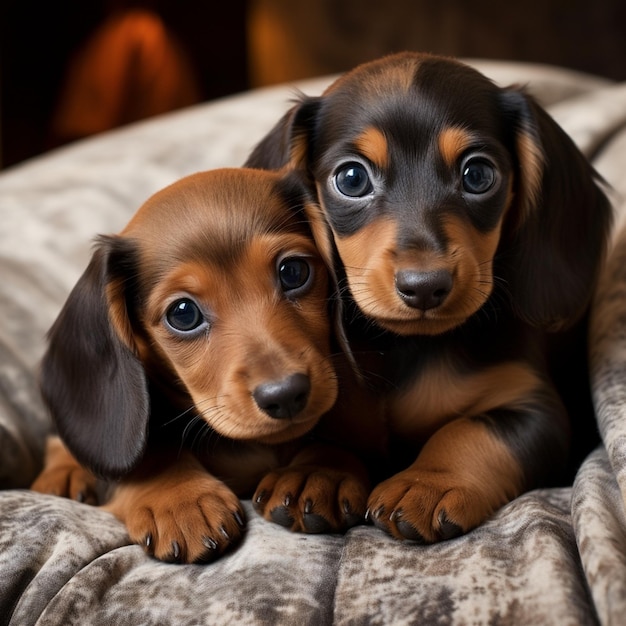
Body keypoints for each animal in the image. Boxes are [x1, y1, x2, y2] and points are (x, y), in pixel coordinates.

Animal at [31, 167, 368, 560]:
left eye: (293, 272)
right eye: (183, 313)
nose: (285, 395)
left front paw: (320, 470)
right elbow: (149, 454)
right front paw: (179, 498)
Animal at [246, 53, 612, 540]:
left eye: (478, 174)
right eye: (351, 178)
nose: (424, 286)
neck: (404, 348)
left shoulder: (535, 410)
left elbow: (469, 430)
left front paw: (427, 482)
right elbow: (326, 437)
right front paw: (315, 471)